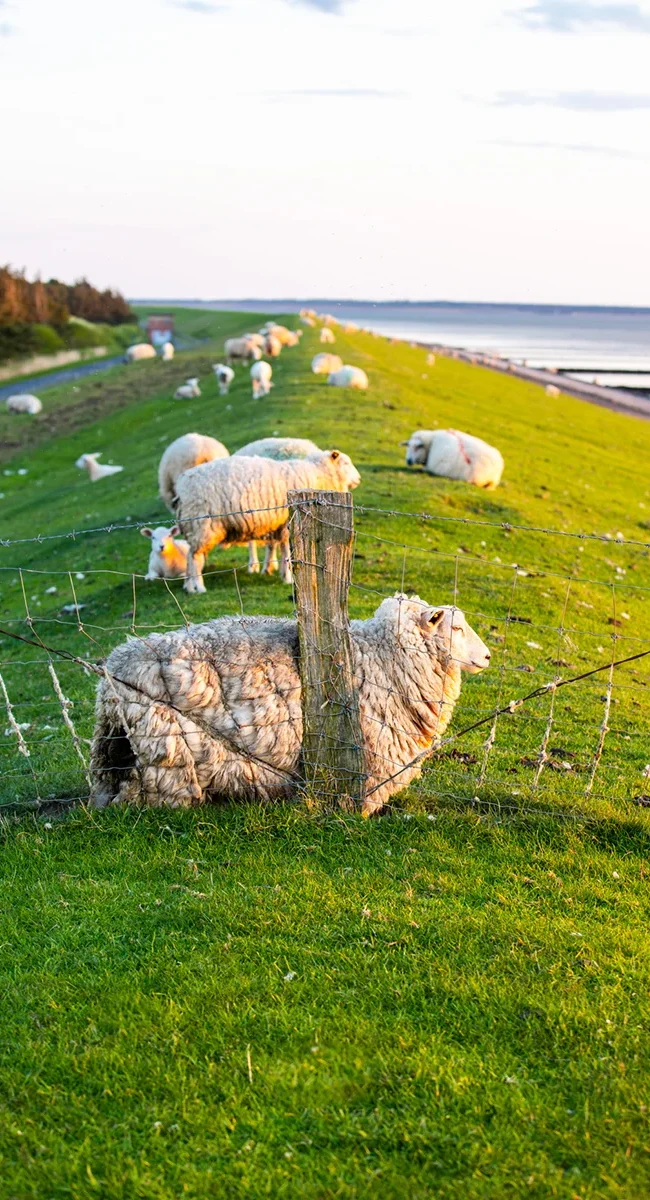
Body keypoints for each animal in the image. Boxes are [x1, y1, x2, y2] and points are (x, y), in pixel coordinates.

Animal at [88, 593, 490, 815]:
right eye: (455, 628)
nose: (487, 657)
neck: (380, 655)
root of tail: (114, 668)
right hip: (166, 754)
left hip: (116, 748)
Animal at [174, 450, 361, 593]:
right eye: (346, 463)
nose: (358, 479)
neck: (318, 474)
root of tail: (181, 487)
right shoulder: (286, 523)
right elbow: (287, 552)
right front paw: (288, 578)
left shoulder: (279, 525)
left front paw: (280, 573)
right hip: (202, 525)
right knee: (195, 558)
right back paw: (199, 587)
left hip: (193, 526)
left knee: (189, 556)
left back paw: (189, 587)